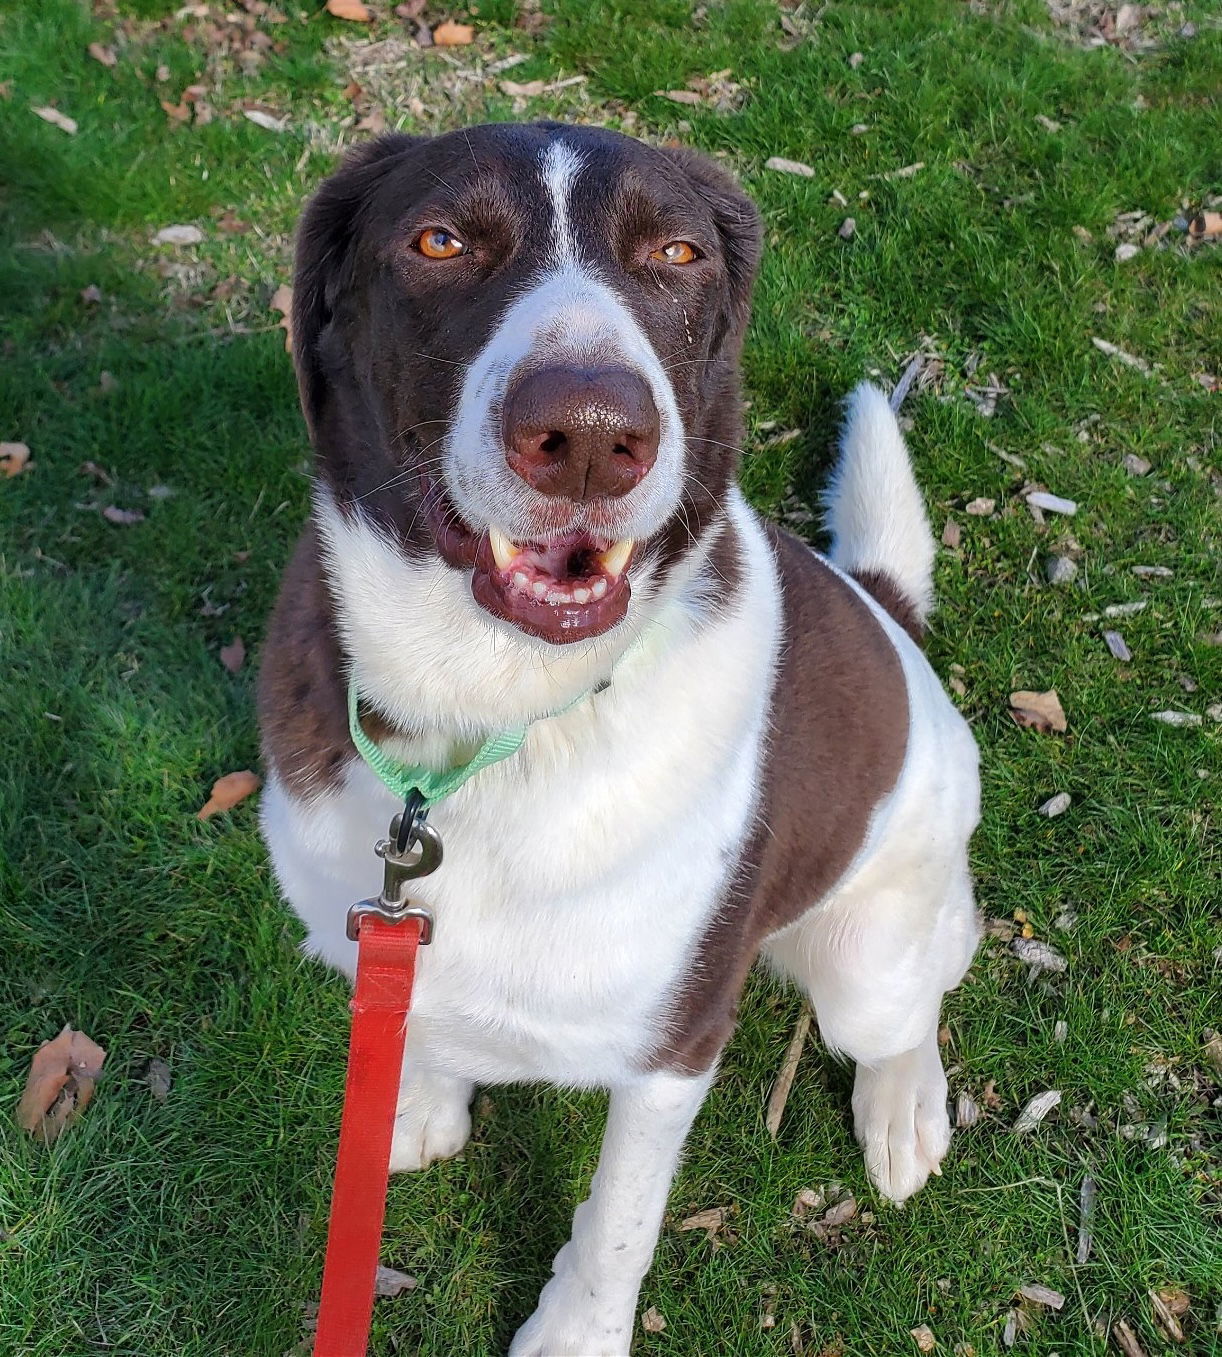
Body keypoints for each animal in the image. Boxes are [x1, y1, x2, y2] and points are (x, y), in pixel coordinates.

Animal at [257, 122, 981, 1351]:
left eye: (678, 251)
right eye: (439, 240)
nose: (591, 436)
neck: (491, 721)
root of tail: (892, 622)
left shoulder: (673, 1047)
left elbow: (616, 1223)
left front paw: (572, 1335)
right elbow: (433, 1021)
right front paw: (419, 1099)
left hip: (868, 951)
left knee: (923, 985)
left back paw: (903, 1107)